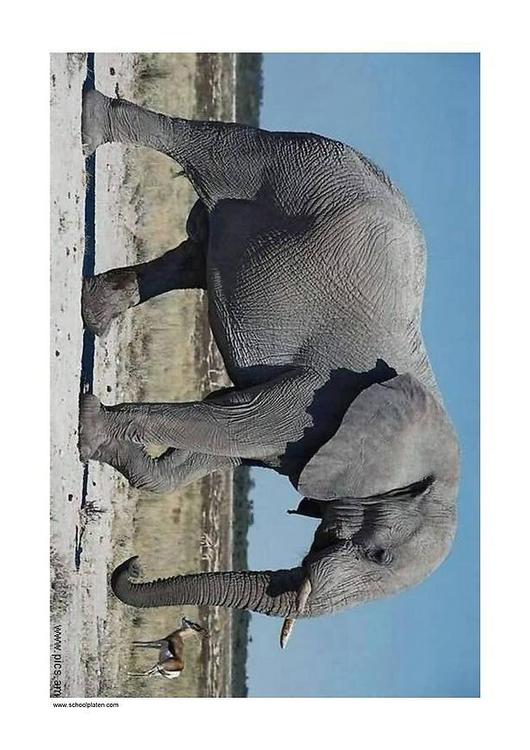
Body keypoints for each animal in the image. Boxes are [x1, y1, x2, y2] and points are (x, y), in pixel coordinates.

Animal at [78, 88, 460, 646]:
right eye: (379, 554)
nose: (132, 563)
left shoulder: (304, 442)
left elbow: (217, 446)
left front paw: (113, 452)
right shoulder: (317, 401)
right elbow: (234, 422)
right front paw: (88, 429)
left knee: (191, 258)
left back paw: (94, 314)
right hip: (286, 163)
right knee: (207, 150)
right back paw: (90, 123)